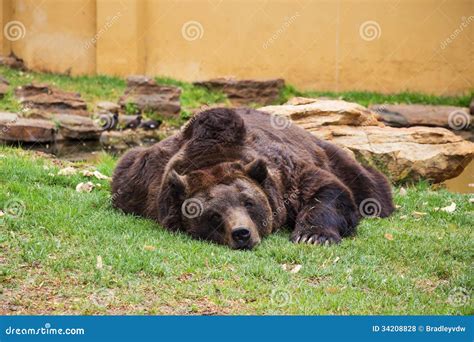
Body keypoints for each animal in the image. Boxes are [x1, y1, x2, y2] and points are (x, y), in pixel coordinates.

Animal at [110, 108, 392, 250]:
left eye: (249, 202)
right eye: (213, 215)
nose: (242, 233)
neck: (214, 155)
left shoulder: (287, 174)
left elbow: (325, 189)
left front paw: (313, 236)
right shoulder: (141, 181)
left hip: (328, 153)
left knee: (369, 187)